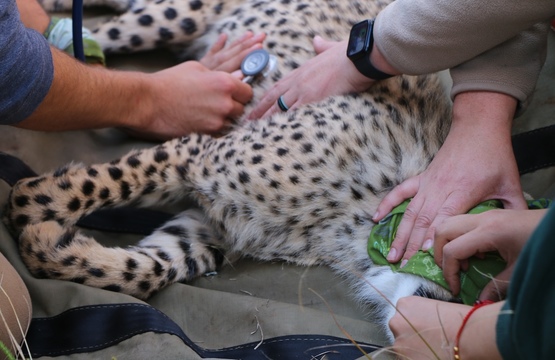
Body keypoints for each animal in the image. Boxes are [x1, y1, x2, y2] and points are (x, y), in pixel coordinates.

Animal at [6, 0, 454, 336]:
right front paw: (28, 212)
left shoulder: (212, 227)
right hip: (172, 16)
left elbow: (143, 270)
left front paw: (52, 245)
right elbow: (79, 188)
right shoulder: (200, 153)